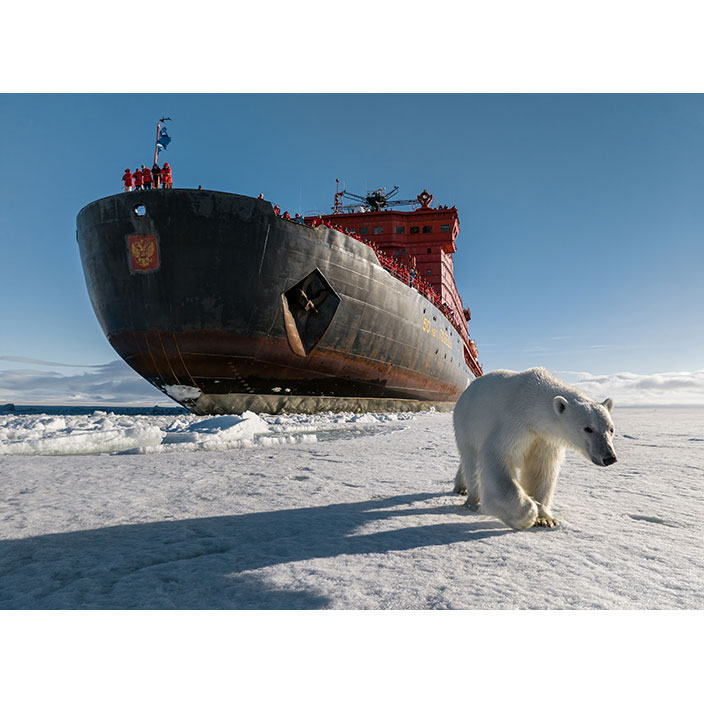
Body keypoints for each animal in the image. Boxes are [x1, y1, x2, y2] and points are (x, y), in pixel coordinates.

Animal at [452, 367, 617, 530]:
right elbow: (496, 457)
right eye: (588, 428)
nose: (609, 457)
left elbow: (540, 470)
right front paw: (527, 514)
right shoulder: (513, 425)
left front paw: (545, 519)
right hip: (466, 424)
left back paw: (461, 486)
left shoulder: (543, 439)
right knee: (471, 461)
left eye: (611, 429)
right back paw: (473, 500)